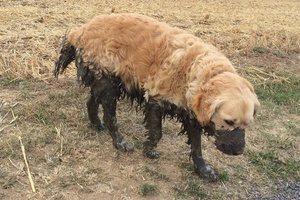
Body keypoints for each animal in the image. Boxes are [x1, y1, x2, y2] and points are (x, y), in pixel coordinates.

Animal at [54, 13, 260, 180]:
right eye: (229, 122)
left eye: (248, 124)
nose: (239, 151)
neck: (195, 70)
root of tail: (80, 30)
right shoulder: (156, 100)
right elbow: (156, 132)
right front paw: (150, 150)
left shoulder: (191, 113)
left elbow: (197, 145)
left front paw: (202, 169)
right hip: (108, 83)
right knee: (110, 116)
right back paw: (120, 142)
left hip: (103, 81)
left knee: (91, 101)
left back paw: (96, 124)